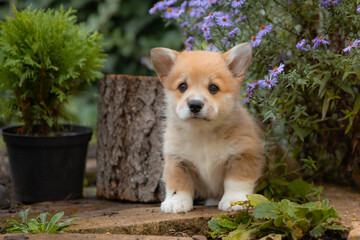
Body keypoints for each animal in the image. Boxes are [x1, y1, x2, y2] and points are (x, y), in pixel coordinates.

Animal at [149, 42, 264, 213]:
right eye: (182, 86)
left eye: (213, 88)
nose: (195, 105)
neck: (203, 132)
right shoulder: (176, 159)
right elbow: (177, 182)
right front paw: (176, 202)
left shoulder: (243, 155)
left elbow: (237, 181)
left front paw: (235, 201)